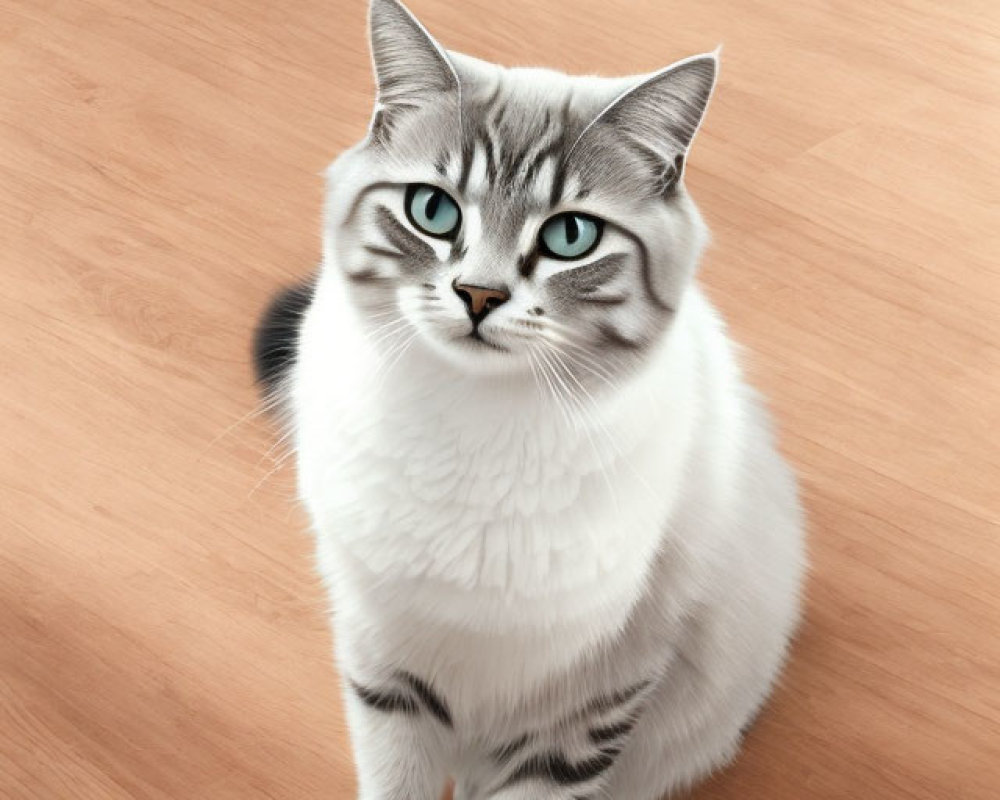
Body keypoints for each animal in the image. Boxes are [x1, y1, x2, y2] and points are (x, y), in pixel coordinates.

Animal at [254, 1, 808, 800]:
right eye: (433, 211)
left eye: (570, 235)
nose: (478, 295)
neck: (471, 425)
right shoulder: (383, 659)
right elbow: (396, 778)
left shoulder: (584, 706)